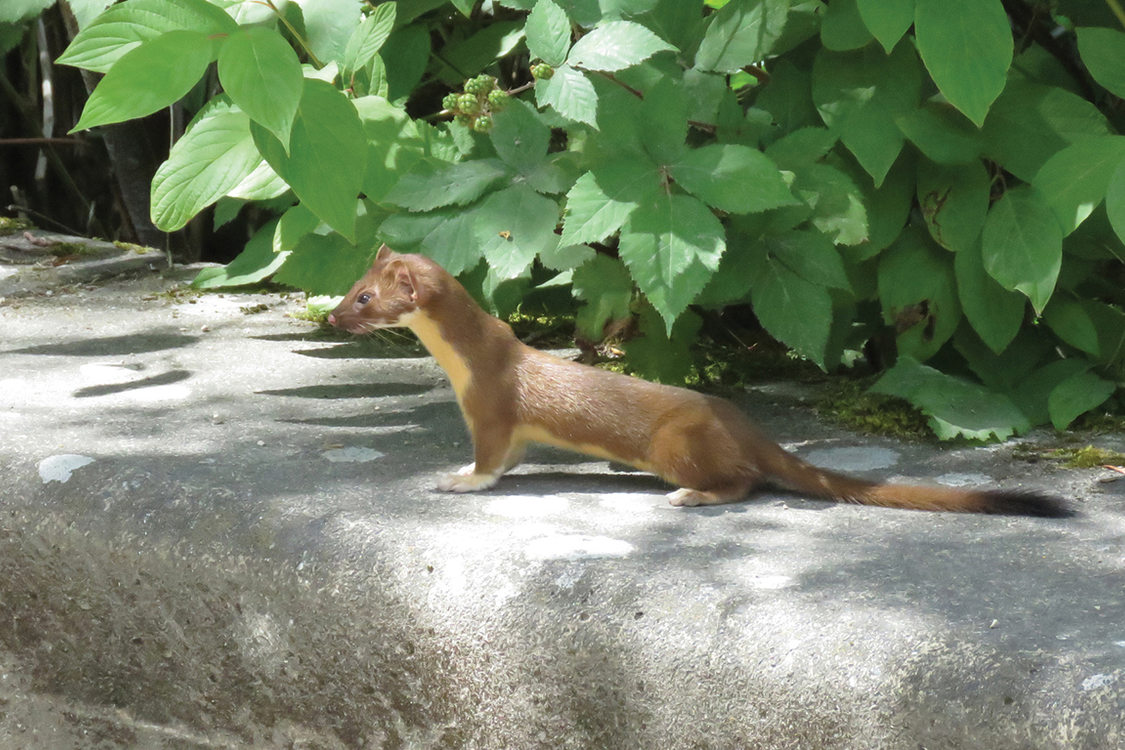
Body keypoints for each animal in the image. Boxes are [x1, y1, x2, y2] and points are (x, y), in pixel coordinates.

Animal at [328, 246, 1071, 517]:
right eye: (349, 286)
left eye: (364, 298)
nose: (333, 315)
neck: (462, 364)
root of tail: (746, 424)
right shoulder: (505, 427)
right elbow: (507, 458)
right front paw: (461, 472)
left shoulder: (490, 406)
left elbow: (489, 460)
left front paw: (457, 480)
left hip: (674, 443)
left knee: (745, 481)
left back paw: (691, 494)